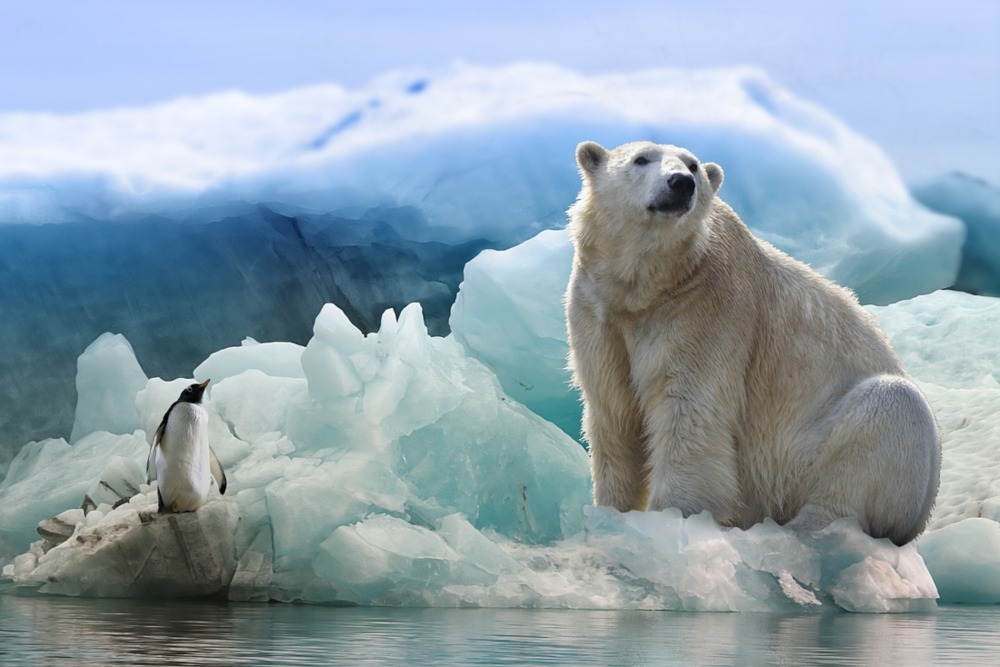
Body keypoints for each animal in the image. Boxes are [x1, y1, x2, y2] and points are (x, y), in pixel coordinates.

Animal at [564, 140, 940, 545]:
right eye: (641, 159)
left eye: (693, 166)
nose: (681, 183)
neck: (650, 286)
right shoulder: (598, 313)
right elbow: (614, 413)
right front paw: (611, 514)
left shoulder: (705, 309)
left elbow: (689, 414)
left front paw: (671, 519)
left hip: (810, 456)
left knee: (889, 410)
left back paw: (809, 528)